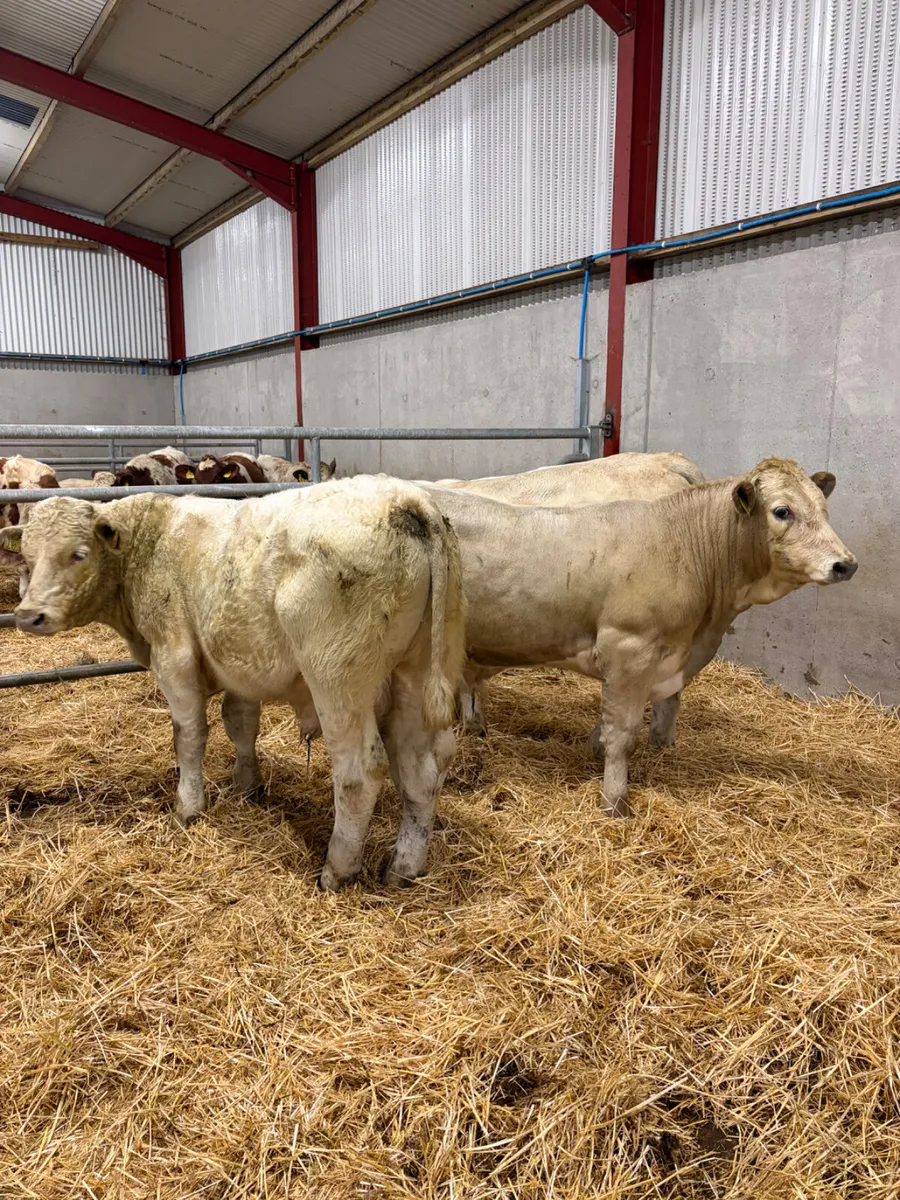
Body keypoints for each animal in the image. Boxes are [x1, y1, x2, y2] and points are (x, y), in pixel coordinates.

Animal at [2, 476, 465, 890]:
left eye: (78, 554)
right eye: (26, 557)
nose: (28, 615)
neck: (148, 542)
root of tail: (404, 497)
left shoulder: (174, 658)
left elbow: (189, 736)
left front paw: (188, 808)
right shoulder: (239, 666)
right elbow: (240, 724)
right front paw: (247, 786)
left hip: (338, 680)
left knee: (360, 772)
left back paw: (337, 871)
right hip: (416, 675)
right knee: (423, 769)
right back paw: (404, 868)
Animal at [423, 458, 856, 818]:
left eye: (824, 508)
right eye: (782, 511)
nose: (845, 564)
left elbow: (636, 720)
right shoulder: (628, 649)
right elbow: (623, 733)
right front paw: (615, 802)